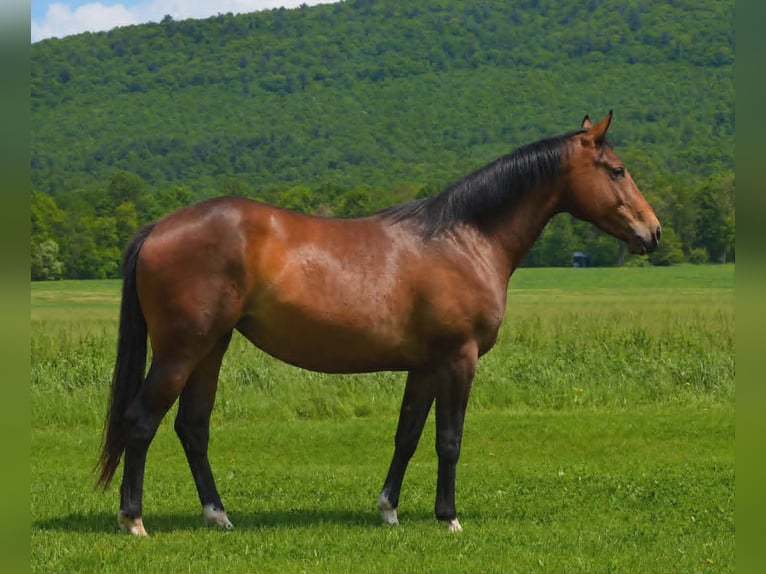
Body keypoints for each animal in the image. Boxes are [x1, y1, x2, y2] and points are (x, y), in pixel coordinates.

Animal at [96, 111, 661, 535]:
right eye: (616, 169)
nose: (652, 232)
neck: (463, 238)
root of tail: (158, 228)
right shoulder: (458, 359)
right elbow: (449, 438)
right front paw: (448, 517)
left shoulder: (426, 366)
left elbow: (407, 435)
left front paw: (389, 509)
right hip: (180, 351)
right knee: (140, 420)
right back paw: (134, 520)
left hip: (211, 348)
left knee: (192, 427)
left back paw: (218, 515)